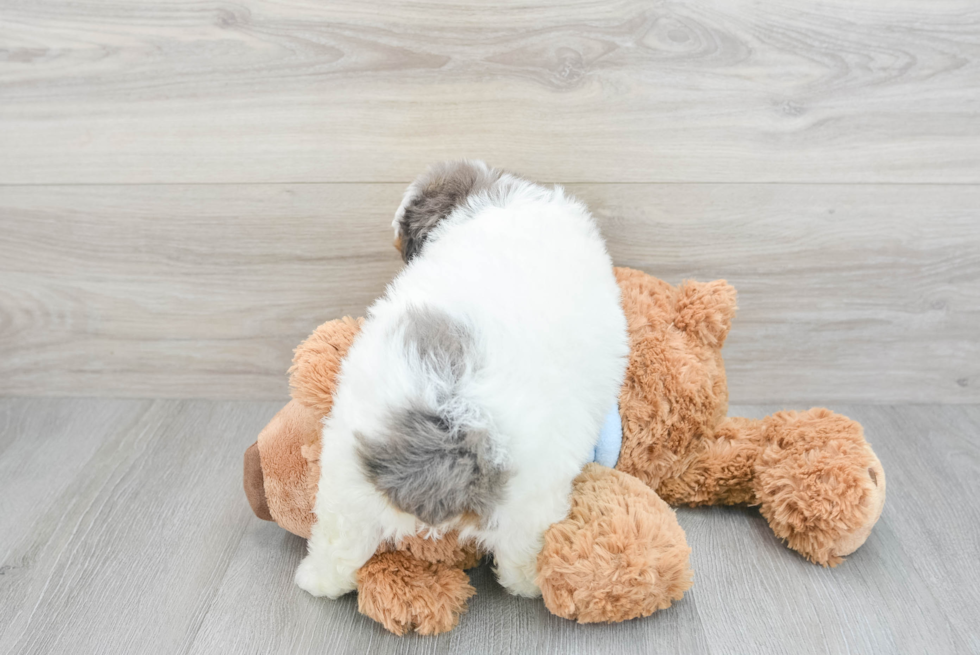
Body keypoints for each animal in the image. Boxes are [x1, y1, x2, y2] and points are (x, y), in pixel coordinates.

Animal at [294, 160, 628, 600]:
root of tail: (455, 433)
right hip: (530, 504)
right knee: (519, 555)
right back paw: (527, 586)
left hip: (346, 475)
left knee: (338, 543)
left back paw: (315, 579)